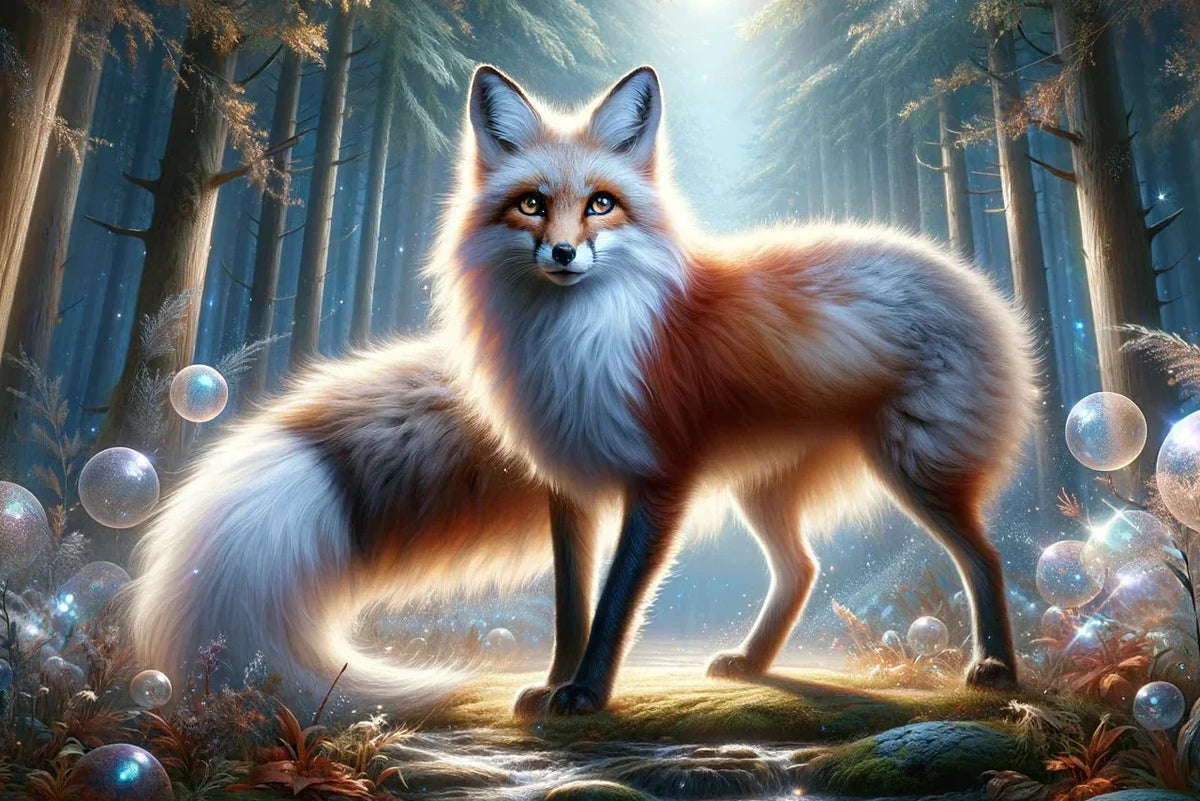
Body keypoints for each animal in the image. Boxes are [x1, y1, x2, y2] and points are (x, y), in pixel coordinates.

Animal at [428, 65, 1037, 716]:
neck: (579, 342)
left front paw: (587, 691)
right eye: (532, 204)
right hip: (763, 491)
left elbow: (614, 603)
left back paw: (997, 667)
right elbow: (571, 607)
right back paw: (753, 662)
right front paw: (553, 685)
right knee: (802, 569)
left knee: (986, 557)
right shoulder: (568, 485)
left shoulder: (660, 479)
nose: (564, 253)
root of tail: (975, 284)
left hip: (916, 469)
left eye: (601, 204)